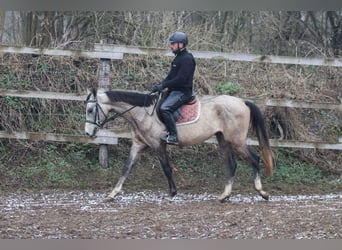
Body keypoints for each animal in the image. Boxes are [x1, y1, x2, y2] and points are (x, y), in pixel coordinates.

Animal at [85, 89, 276, 202]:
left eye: (90, 110)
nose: (88, 133)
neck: (142, 113)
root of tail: (242, 102)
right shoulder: (139, 145)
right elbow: (126, 168)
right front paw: (112, 194)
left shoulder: (157, 145)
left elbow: (166, 168)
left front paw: (172, 193)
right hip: (224, 141)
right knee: (232, 164)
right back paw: (225, 195)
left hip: (237, 141)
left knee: (255, 159)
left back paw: (262, 192)